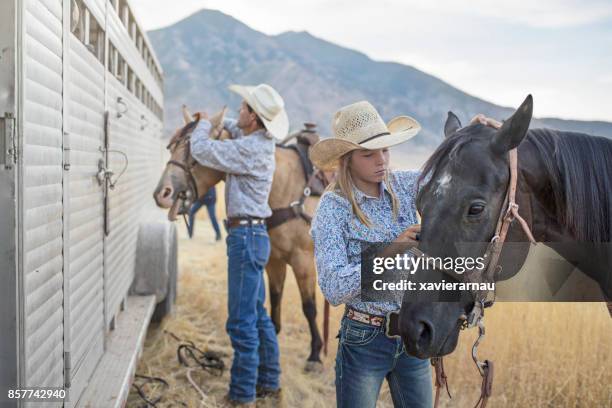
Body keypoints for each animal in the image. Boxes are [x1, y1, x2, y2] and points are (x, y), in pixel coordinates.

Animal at [155, 106, 328, 366]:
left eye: (195, 152)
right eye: (172, 146)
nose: (162, 193)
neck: (287, 188)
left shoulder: (303, 260)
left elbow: (309, 307)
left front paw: (315, 354)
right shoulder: (274, 260)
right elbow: (275, 299)